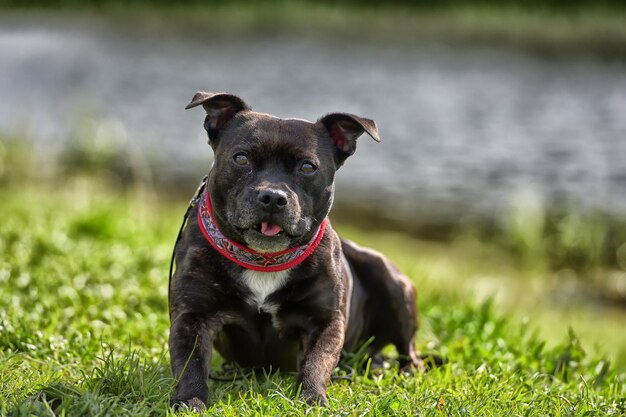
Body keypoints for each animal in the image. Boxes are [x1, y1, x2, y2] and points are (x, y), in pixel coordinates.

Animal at [167, 92, 420, 410]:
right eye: (241, 158)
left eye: (308, 167)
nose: (273, 197)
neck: (263, 261)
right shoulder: (193, 315)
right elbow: (190, 363)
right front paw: (190, 400)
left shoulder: (325, 322)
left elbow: (316, 362)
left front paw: (312, 399)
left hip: (392, 280)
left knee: (410, 350)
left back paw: (404, 370)